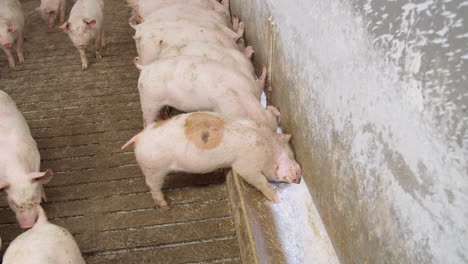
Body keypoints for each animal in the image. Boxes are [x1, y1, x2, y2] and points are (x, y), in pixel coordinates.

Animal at [120, 111, 302, 208]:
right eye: (291, 156)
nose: (299, 178)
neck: (267, 143)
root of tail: (138, 138)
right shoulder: (246, 164)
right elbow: (259, 180)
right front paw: (278, 199)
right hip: (154, 168)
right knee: (152, 185)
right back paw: (166, 206)